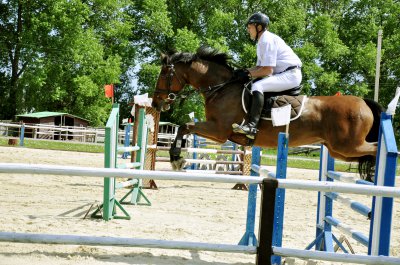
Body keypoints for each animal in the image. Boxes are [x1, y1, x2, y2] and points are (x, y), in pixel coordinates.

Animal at [152, 46, 382, 180]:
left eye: (163, 74)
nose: (156, 103)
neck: (221, 87)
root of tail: (363, 102)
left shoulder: (219, 131)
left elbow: (185, 126)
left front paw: (176, 158)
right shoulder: (217, 132)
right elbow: (185, 128)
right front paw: (177, 158)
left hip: (348, 145)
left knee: (376, 149)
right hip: (339, 151)